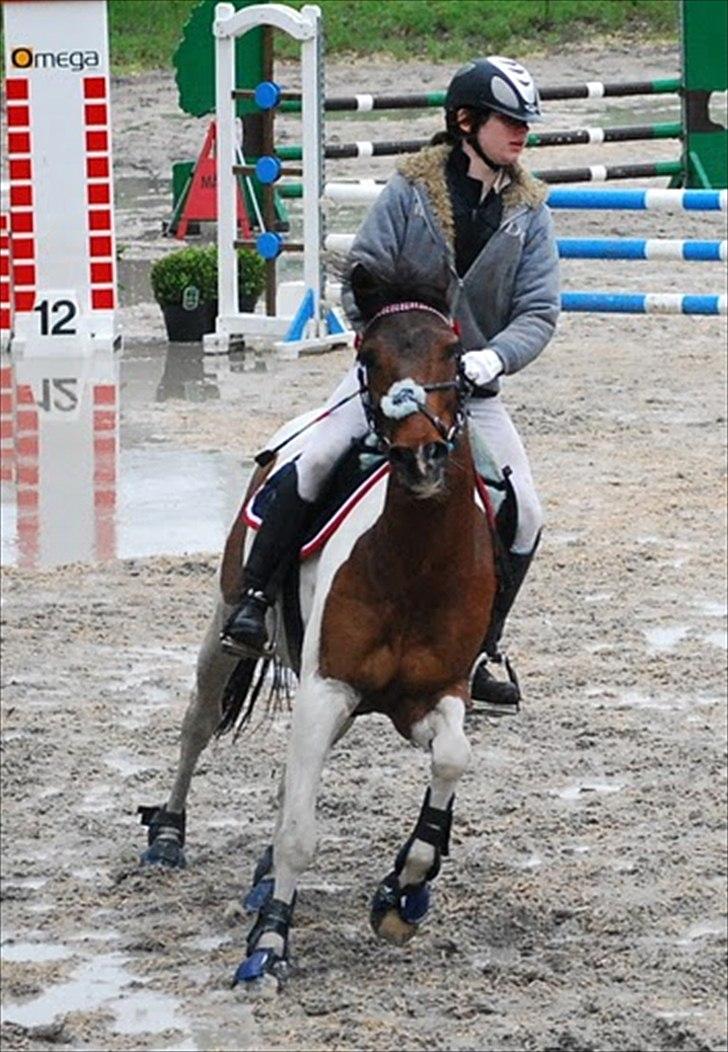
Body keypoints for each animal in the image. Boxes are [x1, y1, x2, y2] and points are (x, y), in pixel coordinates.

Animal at [138, 270, 498, 988]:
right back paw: (167, 833)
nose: (421, 457)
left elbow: (451, 758)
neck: (416, 562)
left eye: (453, 352)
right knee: (198, 723)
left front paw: (403, 891)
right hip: (226, 626)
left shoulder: (432, 695)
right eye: (369, 355)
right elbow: (300, 829)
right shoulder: (328, 688)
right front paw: (270, 944)